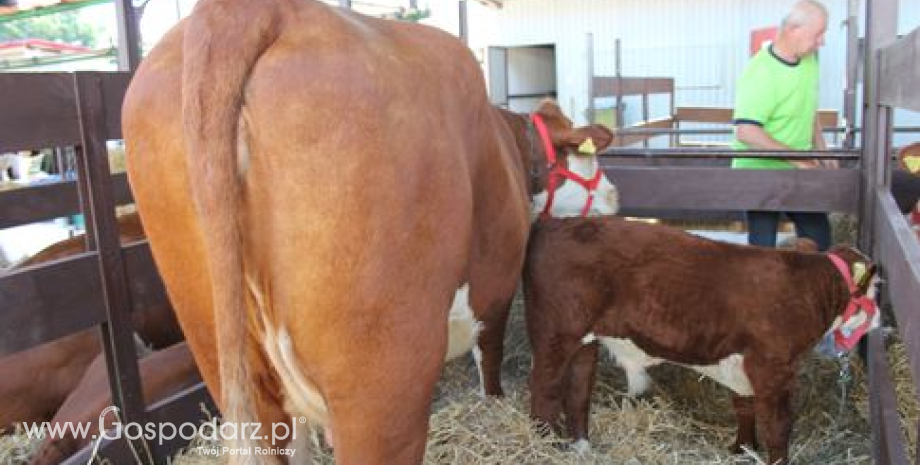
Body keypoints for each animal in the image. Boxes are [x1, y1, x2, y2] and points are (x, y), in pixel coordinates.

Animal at [118, 0, 616, 462]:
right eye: (587, 160)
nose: (613, 195)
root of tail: (248, 11)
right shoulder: (495, 290)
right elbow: (488, 362)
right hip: (381, 386)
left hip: (228, 358)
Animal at [520, 218, 880, 464]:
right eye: (877, 287)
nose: (878, 319)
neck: (807, 287)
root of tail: (555, 222)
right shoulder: (772, 365)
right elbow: (778, 426)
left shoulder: (744, 365)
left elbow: (744, 407)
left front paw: (742, 449)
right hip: (555, 334)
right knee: (544, 390)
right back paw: (542, 445)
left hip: (585, 341)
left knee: (578, 389)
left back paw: (582, 447)